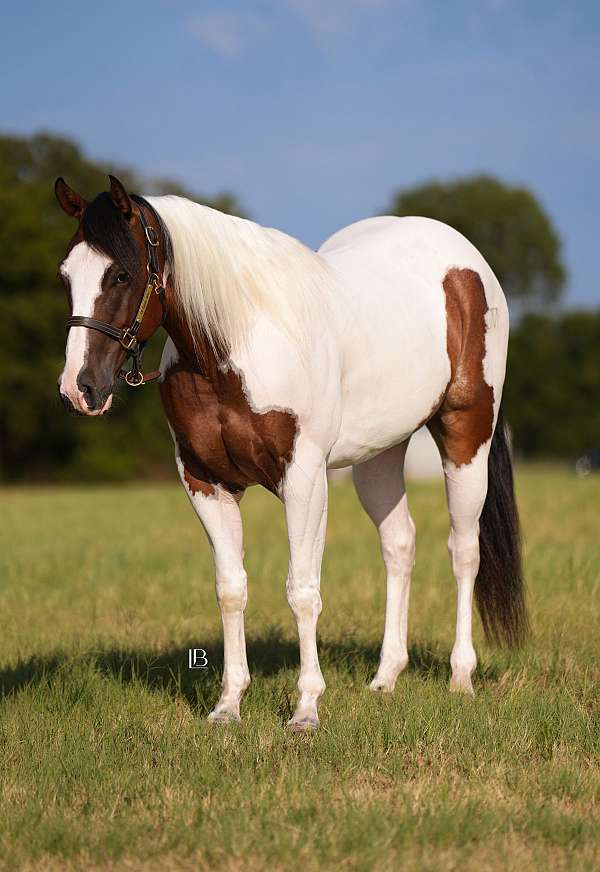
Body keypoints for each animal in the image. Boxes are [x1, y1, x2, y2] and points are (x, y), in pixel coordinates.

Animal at [55, 175, 527, 731]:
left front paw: (305, 709)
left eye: (122, 274)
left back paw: (461, 678)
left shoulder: (303, 479)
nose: (79, 389)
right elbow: (231, 588)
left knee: (464, 551)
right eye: (66, 275)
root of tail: (466, 261)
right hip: (379, 454)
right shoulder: (204, 481)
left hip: (466, 435)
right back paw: (385, 678)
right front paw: (228, 705)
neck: (235, 344)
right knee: (399, 545)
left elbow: (301, 590)